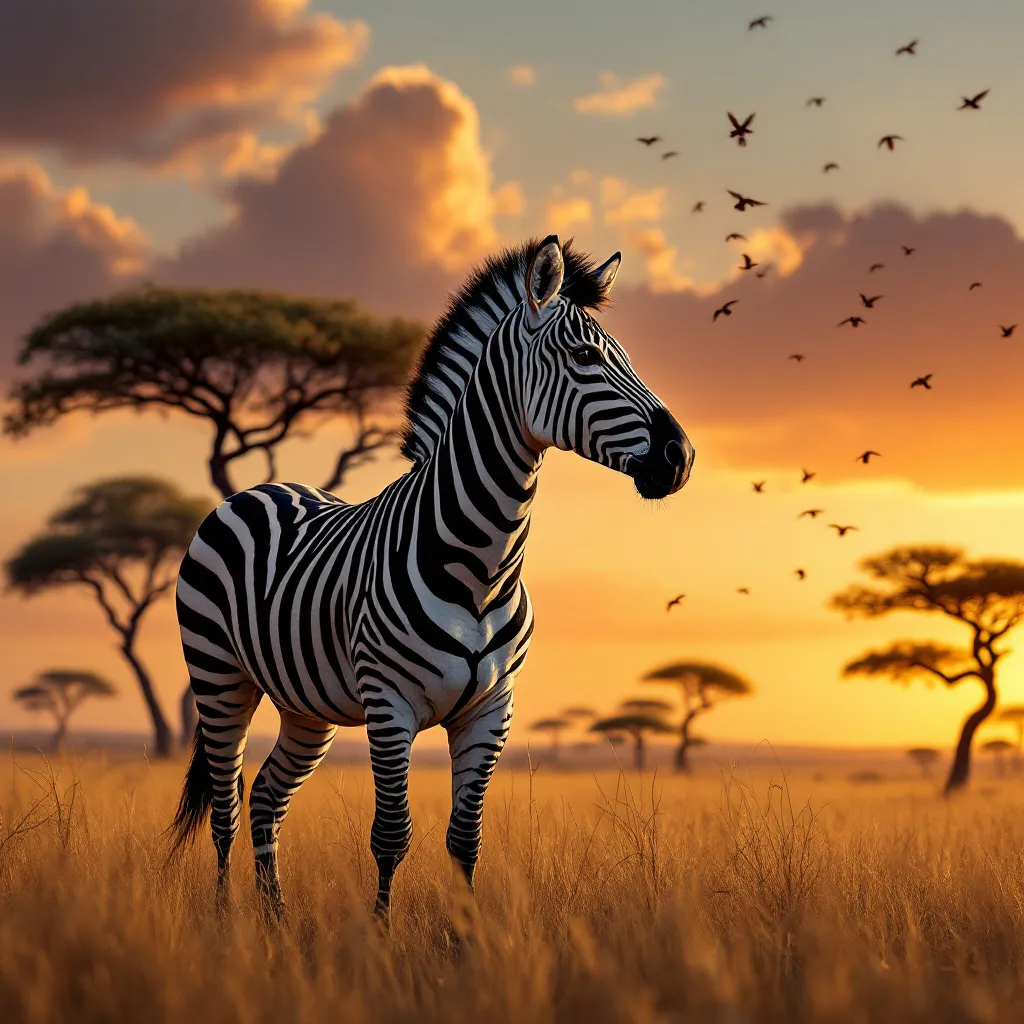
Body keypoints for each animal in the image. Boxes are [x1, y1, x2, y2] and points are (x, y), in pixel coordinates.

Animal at [169, 235, 694, 918]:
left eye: (626, 358)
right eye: (585, 356)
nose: (680, 456)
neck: (481, 567)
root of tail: (259, 489)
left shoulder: (491, 710)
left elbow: (464, 838)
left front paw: (464, 939)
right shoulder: (389, 704)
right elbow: (392, 834)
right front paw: (383, 934)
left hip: (306, 705)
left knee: (266, 796)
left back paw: (275, 922)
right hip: (219, 677)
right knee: (226, 805)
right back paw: (226, 922)